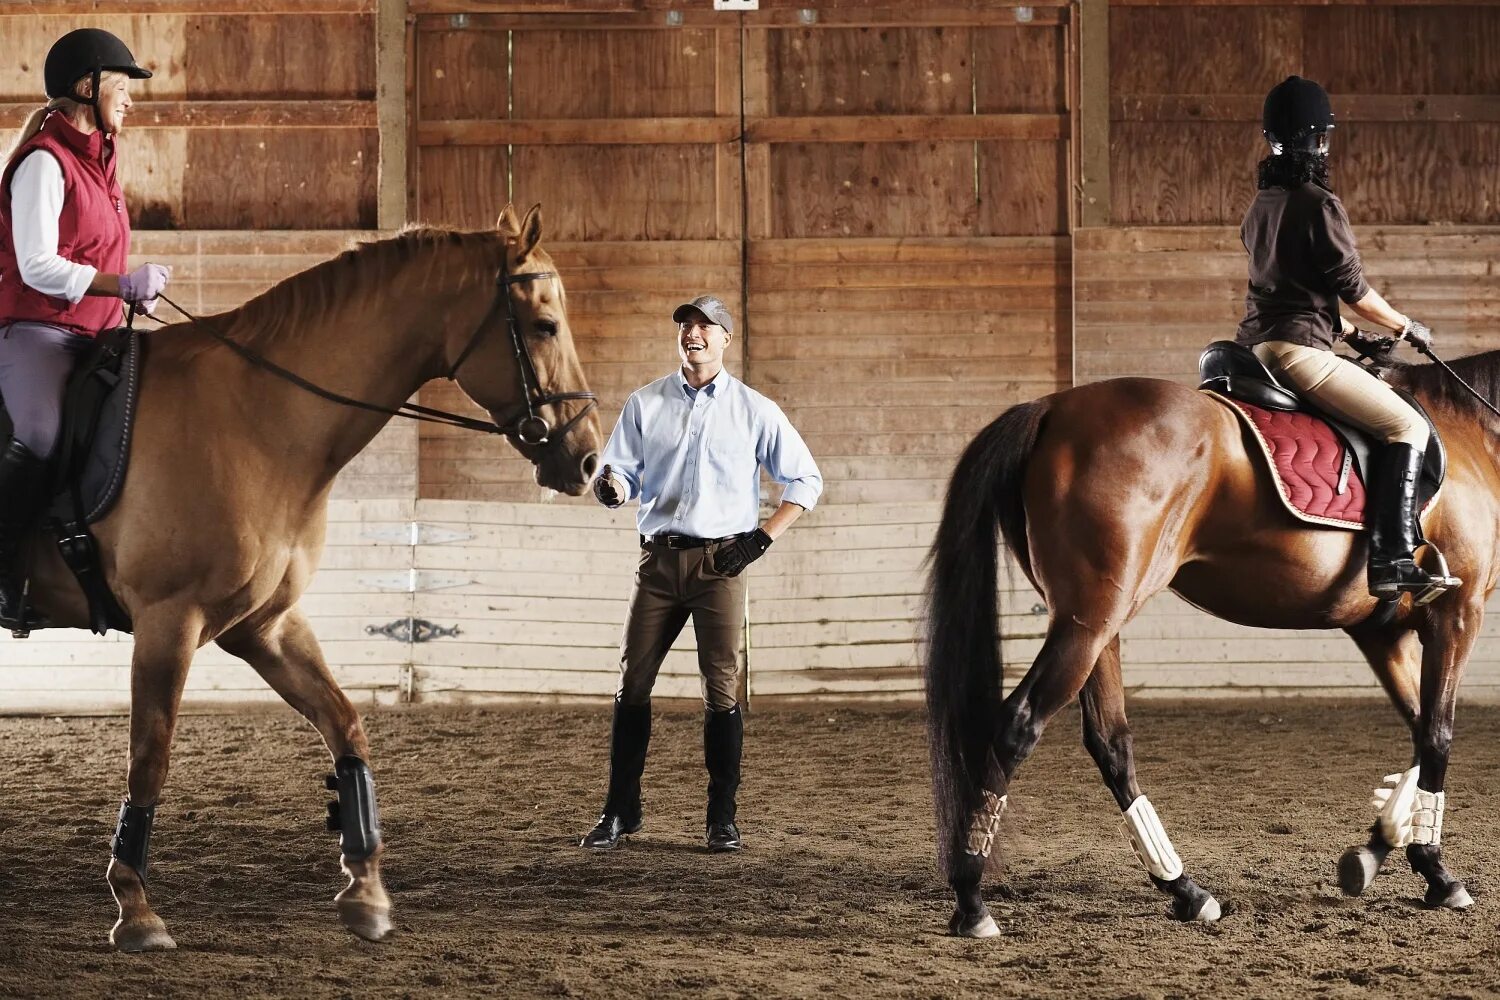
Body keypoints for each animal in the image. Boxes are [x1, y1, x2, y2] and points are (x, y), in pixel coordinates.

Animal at [16, 200, 603, 953]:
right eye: (545, 325)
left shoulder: (265, 625)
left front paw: (366, 891)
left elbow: (346, 726)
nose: (588, 460)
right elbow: (151, 755)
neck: (259, 416)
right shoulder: (168, 620)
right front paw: (136, 907)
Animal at [924, 350, 1500, 941]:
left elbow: (1419, 729)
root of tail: (1050, 407)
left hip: (1095, 622)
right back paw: (972, 901)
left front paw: (1379, 847)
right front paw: (1436, 873)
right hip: (1089, 622)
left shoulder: (1381, 632)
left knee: (1110, 742)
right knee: (1018, 725)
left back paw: (1185, 890)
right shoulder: (1457, 615)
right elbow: (1438, 734)